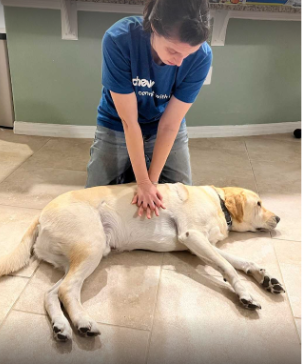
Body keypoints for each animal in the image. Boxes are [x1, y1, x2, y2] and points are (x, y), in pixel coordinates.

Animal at [0, 185, 284, 342]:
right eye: (259, 204)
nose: (280, 218)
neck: (220, 203)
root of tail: (40, 215)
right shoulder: (193, 236)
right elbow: (228, 267)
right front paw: (246, 293)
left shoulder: (203, 245)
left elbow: (240, 261)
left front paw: (264, 277)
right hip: (92, 247)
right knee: (66, 290)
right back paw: (82, 322)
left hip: (78, 258)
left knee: (51, 293)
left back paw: (60, 327)